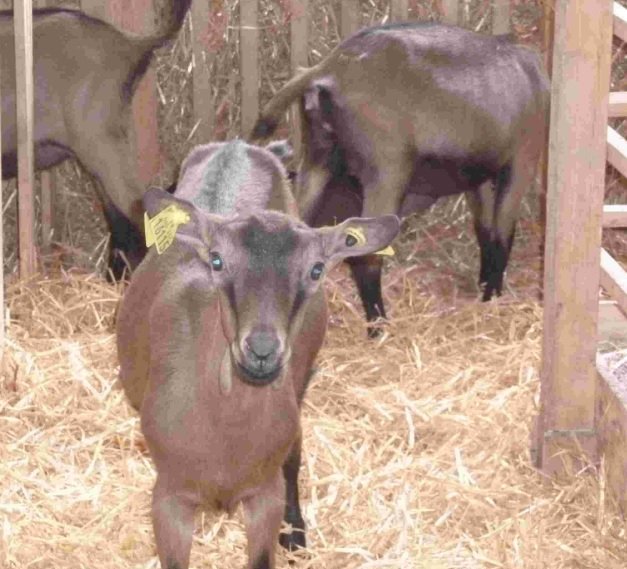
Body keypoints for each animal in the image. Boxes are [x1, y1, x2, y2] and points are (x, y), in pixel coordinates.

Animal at [116, 139, 402, 568]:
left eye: (316, 269)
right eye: (217, 260)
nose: (262, 350)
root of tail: (237, 145)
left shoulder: (265, 495)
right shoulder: (169, 497)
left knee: (294, 454)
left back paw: (296, 533)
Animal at [253, 22, 552, 332]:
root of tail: (328, 68)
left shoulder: (479, 176)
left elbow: (486, 230)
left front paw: (484, 287)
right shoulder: (522, 158)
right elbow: (504, 232)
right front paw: (493, 295)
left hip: (318, 157)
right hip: (387, 170)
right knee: (366, 256)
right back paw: (379, 327)